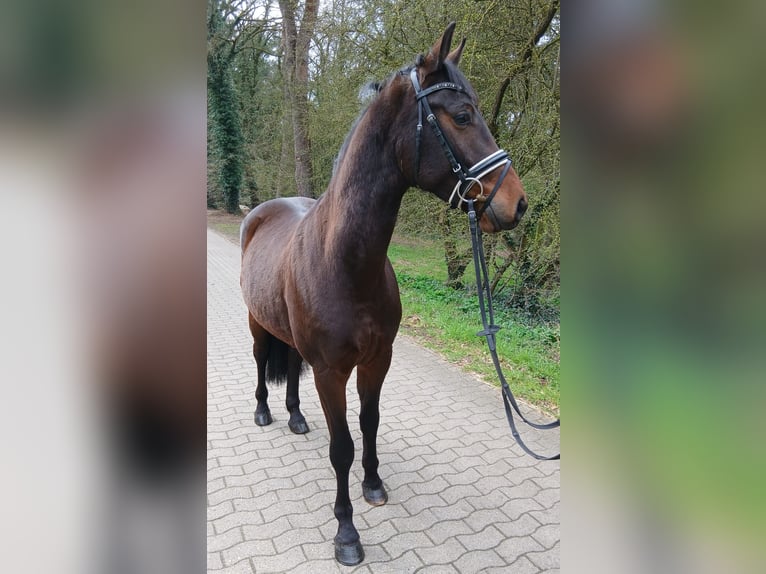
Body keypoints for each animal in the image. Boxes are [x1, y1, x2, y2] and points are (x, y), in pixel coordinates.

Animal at [239, 23, 528, 565]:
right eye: (461, 115)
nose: (516, 203)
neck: (346, 264)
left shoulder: (378, 359)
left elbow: (369, 422)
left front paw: (373, 484)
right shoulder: (331, 372)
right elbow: (342, 448)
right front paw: (346, 534)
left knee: (289, 361)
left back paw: (294, 417)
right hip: (255, 321)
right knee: (263, 358)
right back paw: (265, 411)